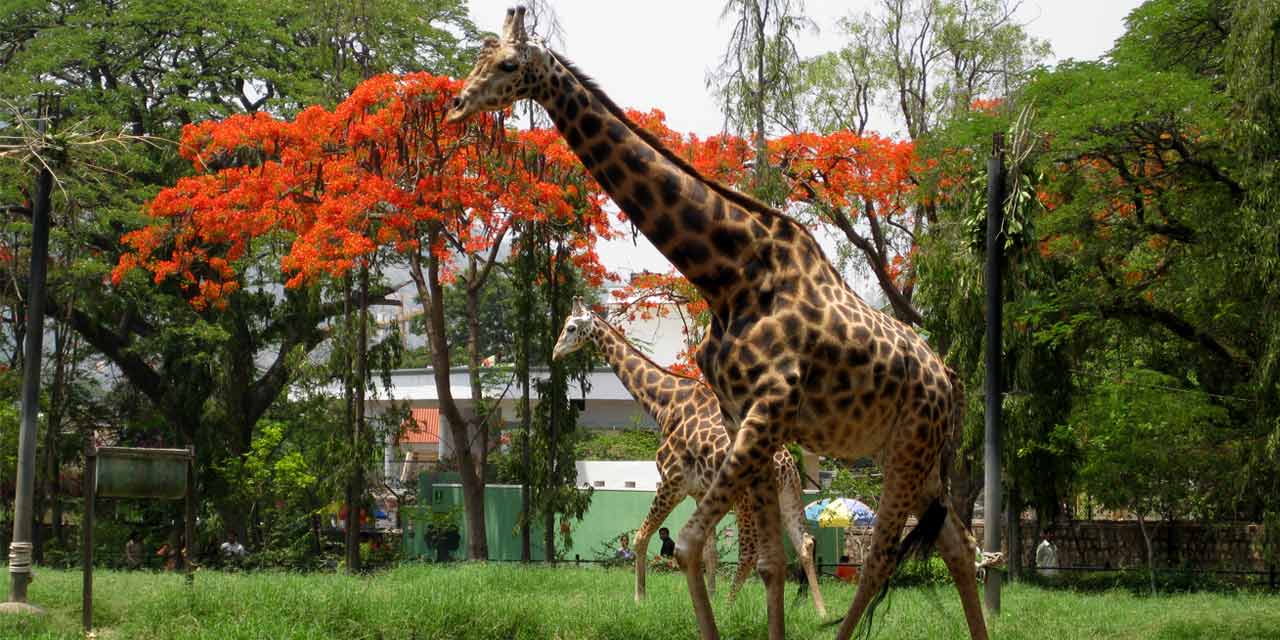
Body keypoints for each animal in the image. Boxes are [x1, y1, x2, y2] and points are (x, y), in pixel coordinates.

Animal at [555, 296, 824, 616]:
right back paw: (820, 611)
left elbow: (642, 537)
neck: (665, 405)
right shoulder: (698, 491)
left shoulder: (672, 482)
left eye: (571, 327)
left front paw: (640, 598)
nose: (556, 352)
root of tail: (787, 464)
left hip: (745, 500)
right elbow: (708, 552)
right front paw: (709, 597)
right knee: (804, 543)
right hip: (788, 493)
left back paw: (729, 609)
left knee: (750, 552)